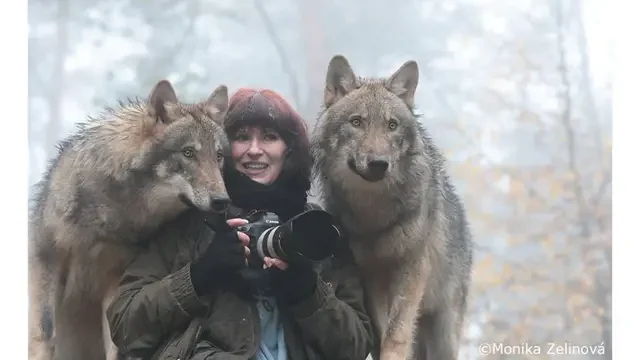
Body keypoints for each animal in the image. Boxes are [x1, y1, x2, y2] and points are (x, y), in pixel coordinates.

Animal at [28, 81, 232, 360]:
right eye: (188, 153)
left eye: (218, 156)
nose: (223, 201)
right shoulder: (46, 258)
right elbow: (46, 333)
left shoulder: (117, 279)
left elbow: (117, 343)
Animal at [310, 54, 476, 360]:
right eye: (357, 122)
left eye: (392, 125)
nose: (379, 163)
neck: (373, 212)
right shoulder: (371, 273)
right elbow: (380, 327)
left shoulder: (412, 267)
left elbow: (397, 331)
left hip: (444, 332)